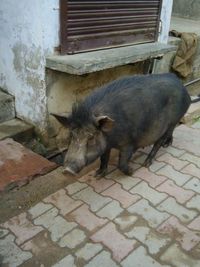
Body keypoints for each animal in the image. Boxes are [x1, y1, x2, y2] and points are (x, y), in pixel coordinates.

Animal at [52, 74, 191, 177]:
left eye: (91, 137)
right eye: (71, 135)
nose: (67, 170)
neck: (111, 137)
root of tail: (183, 87)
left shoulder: (128, 142)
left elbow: (122, 163)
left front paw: (132, 171)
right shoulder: (106, 144)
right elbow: (104, 158)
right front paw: (98, 175)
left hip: (171, 122)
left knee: (159, 142)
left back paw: (146, 163)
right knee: (170, 134)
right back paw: (167, 145)